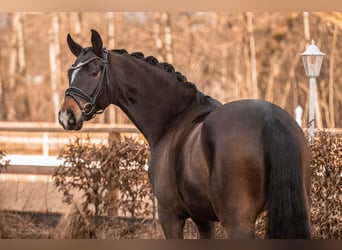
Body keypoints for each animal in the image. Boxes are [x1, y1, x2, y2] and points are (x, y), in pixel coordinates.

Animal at [58, 29, 310, 238]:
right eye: (70, 73)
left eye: (94, 71)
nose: (66, 116)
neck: (174, 117)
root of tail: (269, 118)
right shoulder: (203, 219)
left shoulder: (170, 216)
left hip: (237, 223)